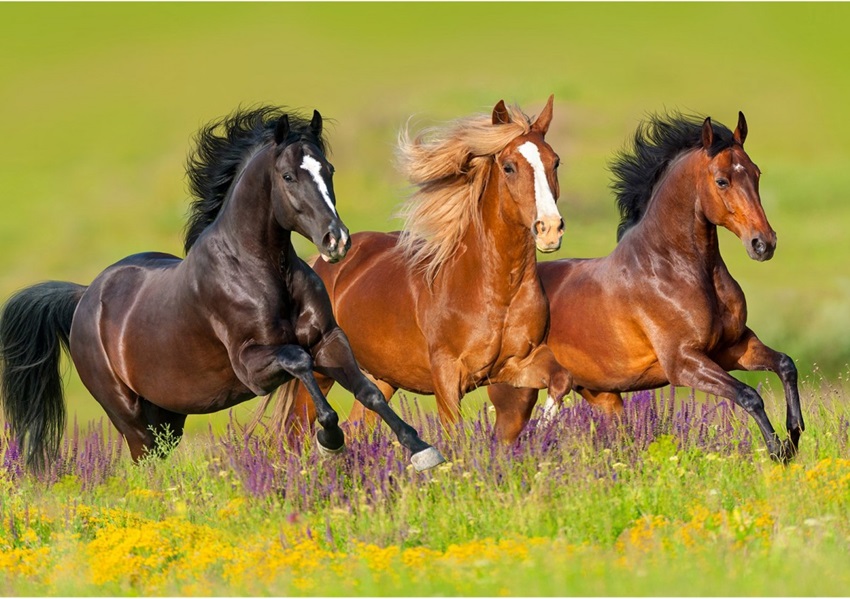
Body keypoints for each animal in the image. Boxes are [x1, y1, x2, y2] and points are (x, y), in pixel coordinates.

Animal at [1, 106, 444, 474]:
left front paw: (422, 450)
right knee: (146, 464)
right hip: (128, 415)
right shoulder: (253, 367)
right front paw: (330, 440)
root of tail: (84, 299)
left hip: (167, 416)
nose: (336, 241)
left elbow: (369, 392)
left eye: (329, 169)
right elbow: (300, 361)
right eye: (288, 176)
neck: (261, 272)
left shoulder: (329, 340)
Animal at [272, 95, 572, 440]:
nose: (549, 229)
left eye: (555, 162)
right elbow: (454, 434)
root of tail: (319, 264)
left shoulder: (516, 364)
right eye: (509, 167)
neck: (495, 291)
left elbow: (561, 379)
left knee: (359, 425)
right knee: (297, 431)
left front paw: (539, 433)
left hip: (380, 378)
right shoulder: (447, 376)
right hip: (322, 371)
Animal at [486, 110, 804, 462]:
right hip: (516, 395)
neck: (674, 269)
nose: (763, 243)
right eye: (722, 180)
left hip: (603, 395)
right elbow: (749, 395)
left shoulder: (733, 347)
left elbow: (786, 365)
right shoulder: (684, 363)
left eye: (756, 173)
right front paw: (778, 451)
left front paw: (794, 433)